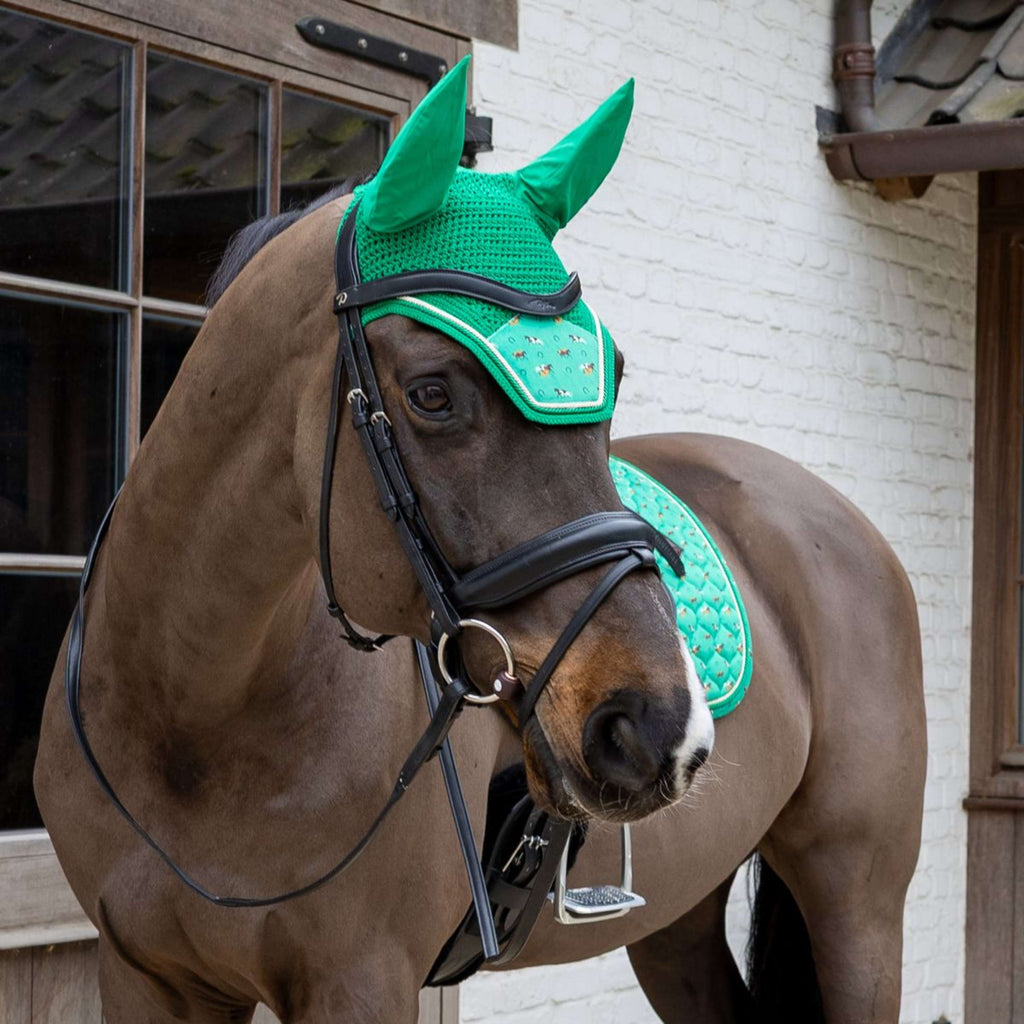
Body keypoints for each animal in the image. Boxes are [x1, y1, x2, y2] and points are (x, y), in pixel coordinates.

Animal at [33, 62, 925, 1024]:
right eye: (431, 393)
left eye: (614, 372)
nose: (661, 727)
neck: (193, 718)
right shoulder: (145, 976)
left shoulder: (361, 983)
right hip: (678, 921)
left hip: (857, 904)